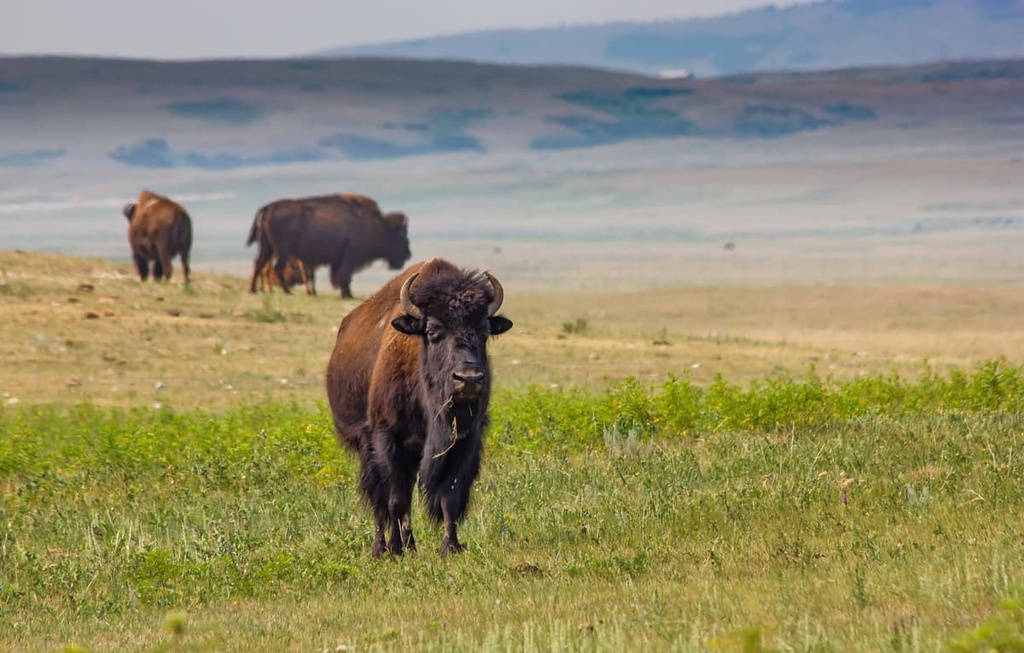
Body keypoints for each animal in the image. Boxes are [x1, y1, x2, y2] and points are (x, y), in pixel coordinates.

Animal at [245, 193, 409, 298]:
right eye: (401, 235)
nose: (408, 254)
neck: (377, 224)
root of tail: (269, 207)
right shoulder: (349, 259)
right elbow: (344, 277)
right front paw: (347, 295)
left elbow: (342, 277)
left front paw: (347, 294)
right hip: (282, 250)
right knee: (276, 267)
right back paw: (286, 292)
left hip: (267, 247)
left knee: (259, 264)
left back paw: (253, 290)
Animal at [325, 257, 512, 556]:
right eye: (433, 331)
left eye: (484, 331)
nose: (469, 379)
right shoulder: (386, 437)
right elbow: (395, 498)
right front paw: (396, 549)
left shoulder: (464, 441)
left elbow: (450, 495)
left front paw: (450, 546)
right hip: (368, 446)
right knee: (380, 499)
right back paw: (382, 548)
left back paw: (407, 545)